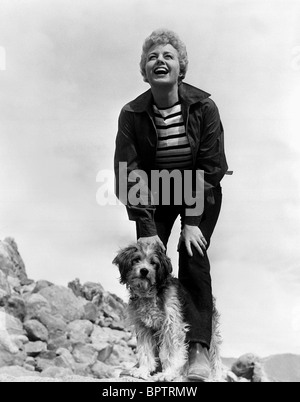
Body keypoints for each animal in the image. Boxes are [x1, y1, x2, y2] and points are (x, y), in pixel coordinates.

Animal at [113, 240, 221, 382]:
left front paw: (168, 373)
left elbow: (171, 352)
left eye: (153, 263)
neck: (149, 293)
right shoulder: (144, 327)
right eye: (136, 259)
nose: (144, 271)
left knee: (214, 358)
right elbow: (145, 351)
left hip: (211, 334)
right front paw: (143, 370)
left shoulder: (172, 325)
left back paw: (215, 376)